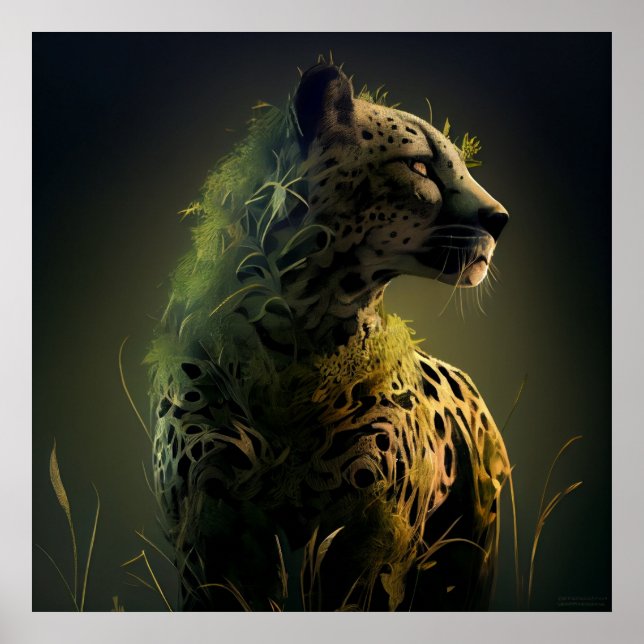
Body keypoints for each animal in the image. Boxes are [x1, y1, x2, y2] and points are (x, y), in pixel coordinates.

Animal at [147, 63, 511, 612]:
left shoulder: (372, 520)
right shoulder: (213, 516)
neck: (296, 342)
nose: (501, 219)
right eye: (420, 166)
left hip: (466, 556)